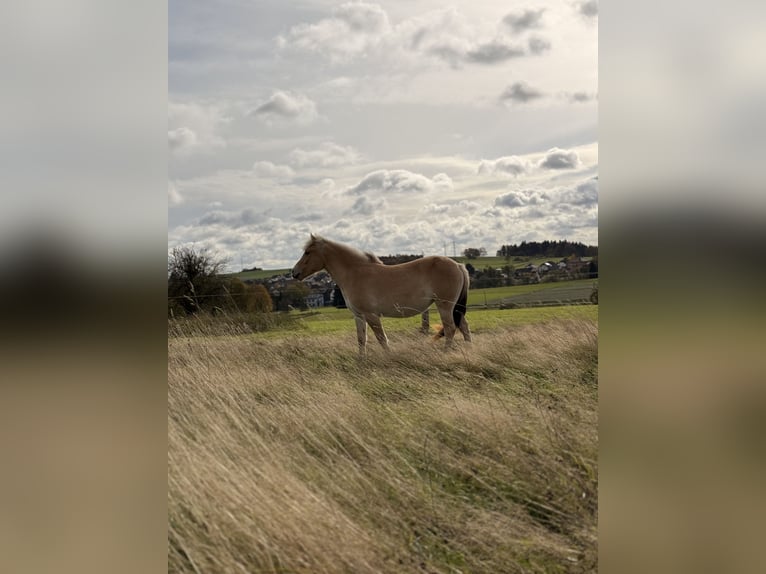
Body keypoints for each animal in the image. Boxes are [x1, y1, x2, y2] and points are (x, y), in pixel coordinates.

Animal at [291, 234, 472, 353]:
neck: (355, 273)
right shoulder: (359, 316)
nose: (294, 272)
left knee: (450, 329)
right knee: (463, 327)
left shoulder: (371, 315)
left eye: (307, 252)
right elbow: (361, 340)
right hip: (454, 308)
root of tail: (458, 265)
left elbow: (382, 339)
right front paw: (361, 363)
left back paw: (445, 353)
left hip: (445, 306)